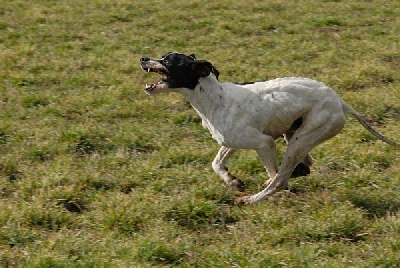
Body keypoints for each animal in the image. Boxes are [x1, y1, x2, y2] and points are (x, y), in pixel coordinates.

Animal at [139, 51, 398, 204]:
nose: (142, 58)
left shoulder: (263, 142)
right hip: (292, 135)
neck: (213, 97)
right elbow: (217, 163)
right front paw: (232, 181)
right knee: (304, 165)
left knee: (279, 179)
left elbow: (276, 177)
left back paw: (252, 199)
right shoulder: (231, 142)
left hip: (297, 142)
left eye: (169, 60)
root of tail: (340, 102)